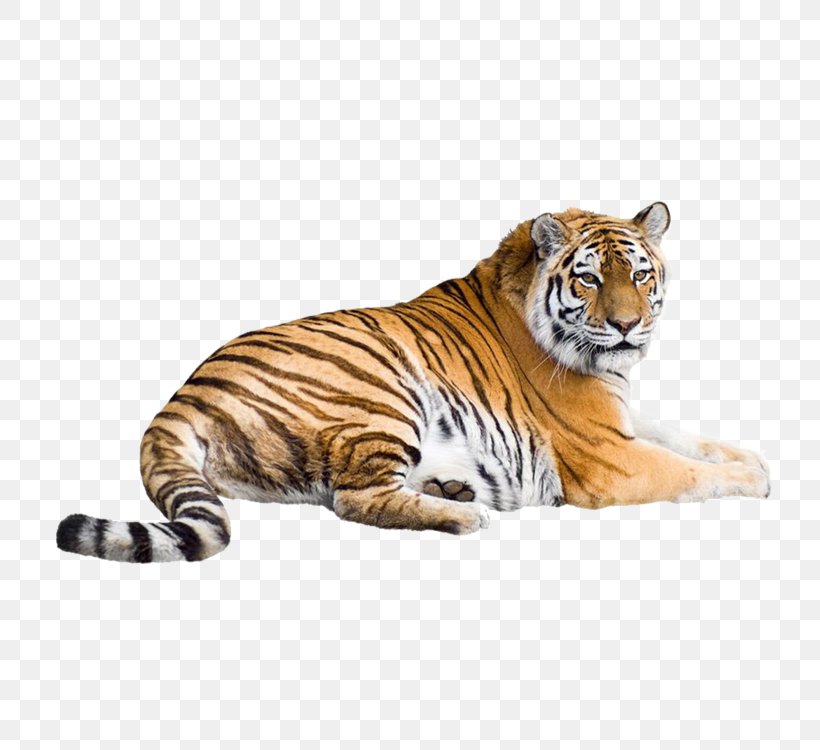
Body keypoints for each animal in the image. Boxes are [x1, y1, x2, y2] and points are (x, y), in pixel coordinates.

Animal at [56, 202, 770, 563]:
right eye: (591, 278)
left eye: (641, 275)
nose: (628, 326)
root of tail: (183, 394)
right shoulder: (607, 457)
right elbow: (689, 472)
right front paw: (753, 480)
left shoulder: (621, 418)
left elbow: (690, 439)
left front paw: (751, 456)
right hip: (381, 396)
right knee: (354, 500)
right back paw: (464, 513)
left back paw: (452, 487)